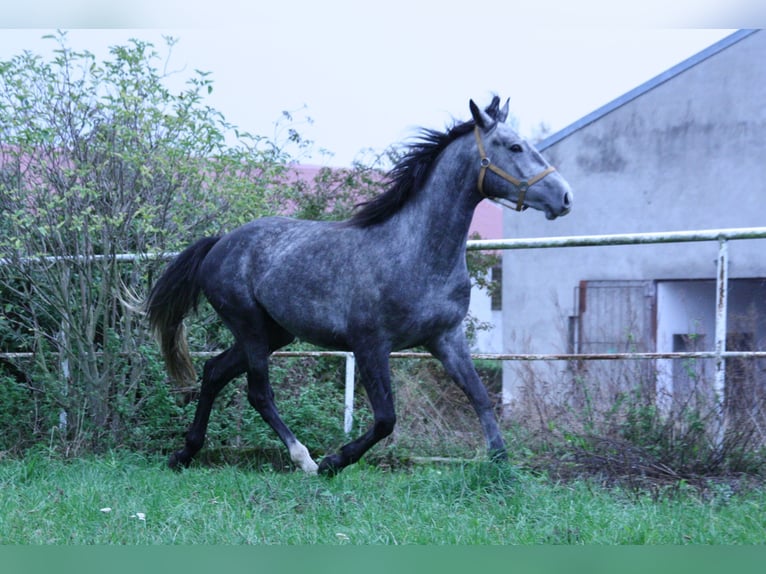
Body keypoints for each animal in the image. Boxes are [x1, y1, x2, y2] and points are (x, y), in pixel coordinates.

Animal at [147, 98, 572, 476]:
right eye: (515, 146)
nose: (565, 196)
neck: (414, 252)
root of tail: (219, 243)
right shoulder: (370, 344)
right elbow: (386, 418)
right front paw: (335, 461)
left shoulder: (446, 338)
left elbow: (480, 397)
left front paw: (502, 467)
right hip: (249, 324)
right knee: (258, 392)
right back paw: (305, 460)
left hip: (275, 333)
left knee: (214, 371)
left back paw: (185, 453)